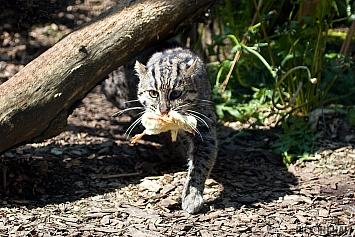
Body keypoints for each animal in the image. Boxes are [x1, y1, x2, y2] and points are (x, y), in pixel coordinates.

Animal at [102, 43, 217, 215]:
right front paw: (180, 154)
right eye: (153, 93)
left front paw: (192, 195)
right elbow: (171, 139)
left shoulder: (205, 125)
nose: (163, 111)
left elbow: (202, 162)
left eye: (176, 93)